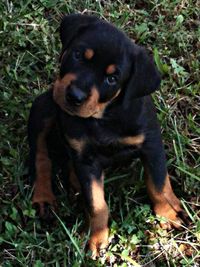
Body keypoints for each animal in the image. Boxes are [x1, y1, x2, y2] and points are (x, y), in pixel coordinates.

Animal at [27, 13, 184, 258]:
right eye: (78, 54)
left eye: (112, 79)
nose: (74, 96)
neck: (104, 116)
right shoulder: (86, 159)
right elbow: (97, 203)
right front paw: (98, 238)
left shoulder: (151, 142)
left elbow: (158, 183)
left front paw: (167, 214)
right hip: (42, 108)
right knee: (41, 158)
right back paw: (44, 197)